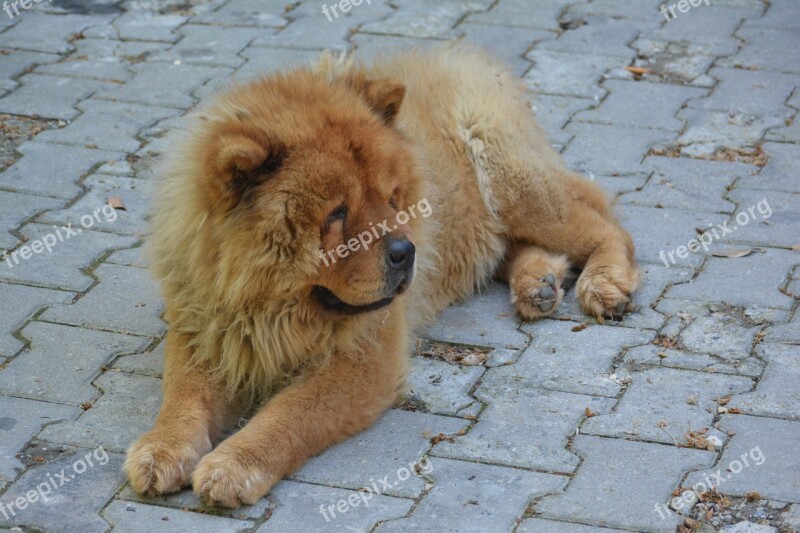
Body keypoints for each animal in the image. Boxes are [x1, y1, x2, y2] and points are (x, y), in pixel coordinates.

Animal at [123, 43, 636, 504]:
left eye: (391, 198)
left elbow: (287, 415)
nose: (406, 251)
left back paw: (604, 284)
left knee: (605, 222)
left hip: (513, 184)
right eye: (336, 215)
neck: (269, 307)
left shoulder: (365, 360)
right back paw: (538, 284)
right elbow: (182, 394)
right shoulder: (204, 327)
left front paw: (233, 465)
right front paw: (161, 449)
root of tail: (464, 56)